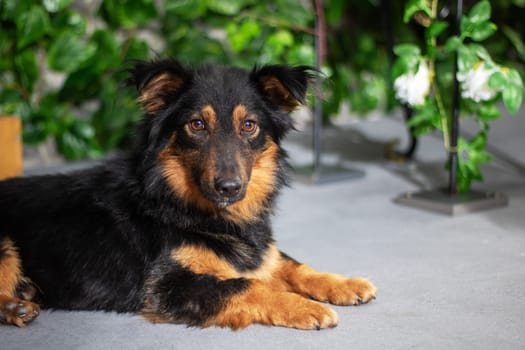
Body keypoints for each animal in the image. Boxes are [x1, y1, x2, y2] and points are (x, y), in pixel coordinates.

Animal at [0, 58, 376, 330]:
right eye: (196, 125)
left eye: (249, 125)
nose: (229, 187)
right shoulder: (167, 287)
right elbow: (248, 285)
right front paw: (305, 307)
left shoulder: (258, 253)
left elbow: (291, 264)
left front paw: (345, 284)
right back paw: (15, 306)